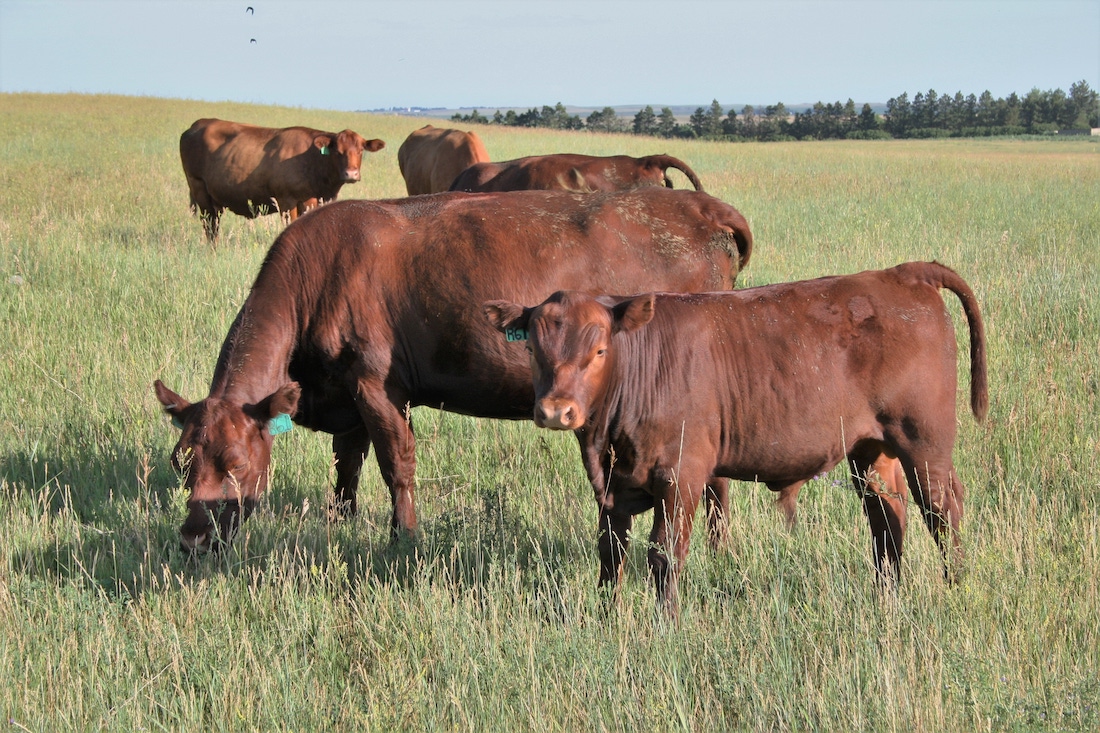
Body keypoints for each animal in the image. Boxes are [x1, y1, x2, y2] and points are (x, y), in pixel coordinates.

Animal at [154, 187, 753, 553]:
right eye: (181, 463)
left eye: (234, 464)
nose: (191, 539)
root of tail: (703, 207)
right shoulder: (346, 395)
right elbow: (347, 469)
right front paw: (342, 524)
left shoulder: (377, 385)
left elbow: (396, 466)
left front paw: (403, 541)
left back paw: (718, 547)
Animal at [179, 118, 385, 242]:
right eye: (337, 151)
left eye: (361, 150)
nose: (351, 174)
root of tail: (198, 124)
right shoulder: (286, 200)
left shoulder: (311, 201)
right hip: (199, 189)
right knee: (209, 226)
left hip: (215, 200)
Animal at [483, 261, 988, 616]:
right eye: (533, 349)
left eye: (600, 350)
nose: (556, 411)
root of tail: (902, 274)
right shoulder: (611, 486)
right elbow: (611, 552)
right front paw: (608, 618)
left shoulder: (681, 476)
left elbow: (665, 554)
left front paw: (666, 623)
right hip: (871, 451)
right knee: (887, 516)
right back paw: (887, 595)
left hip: (924, 443)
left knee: (942, 510)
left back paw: (957, 587)